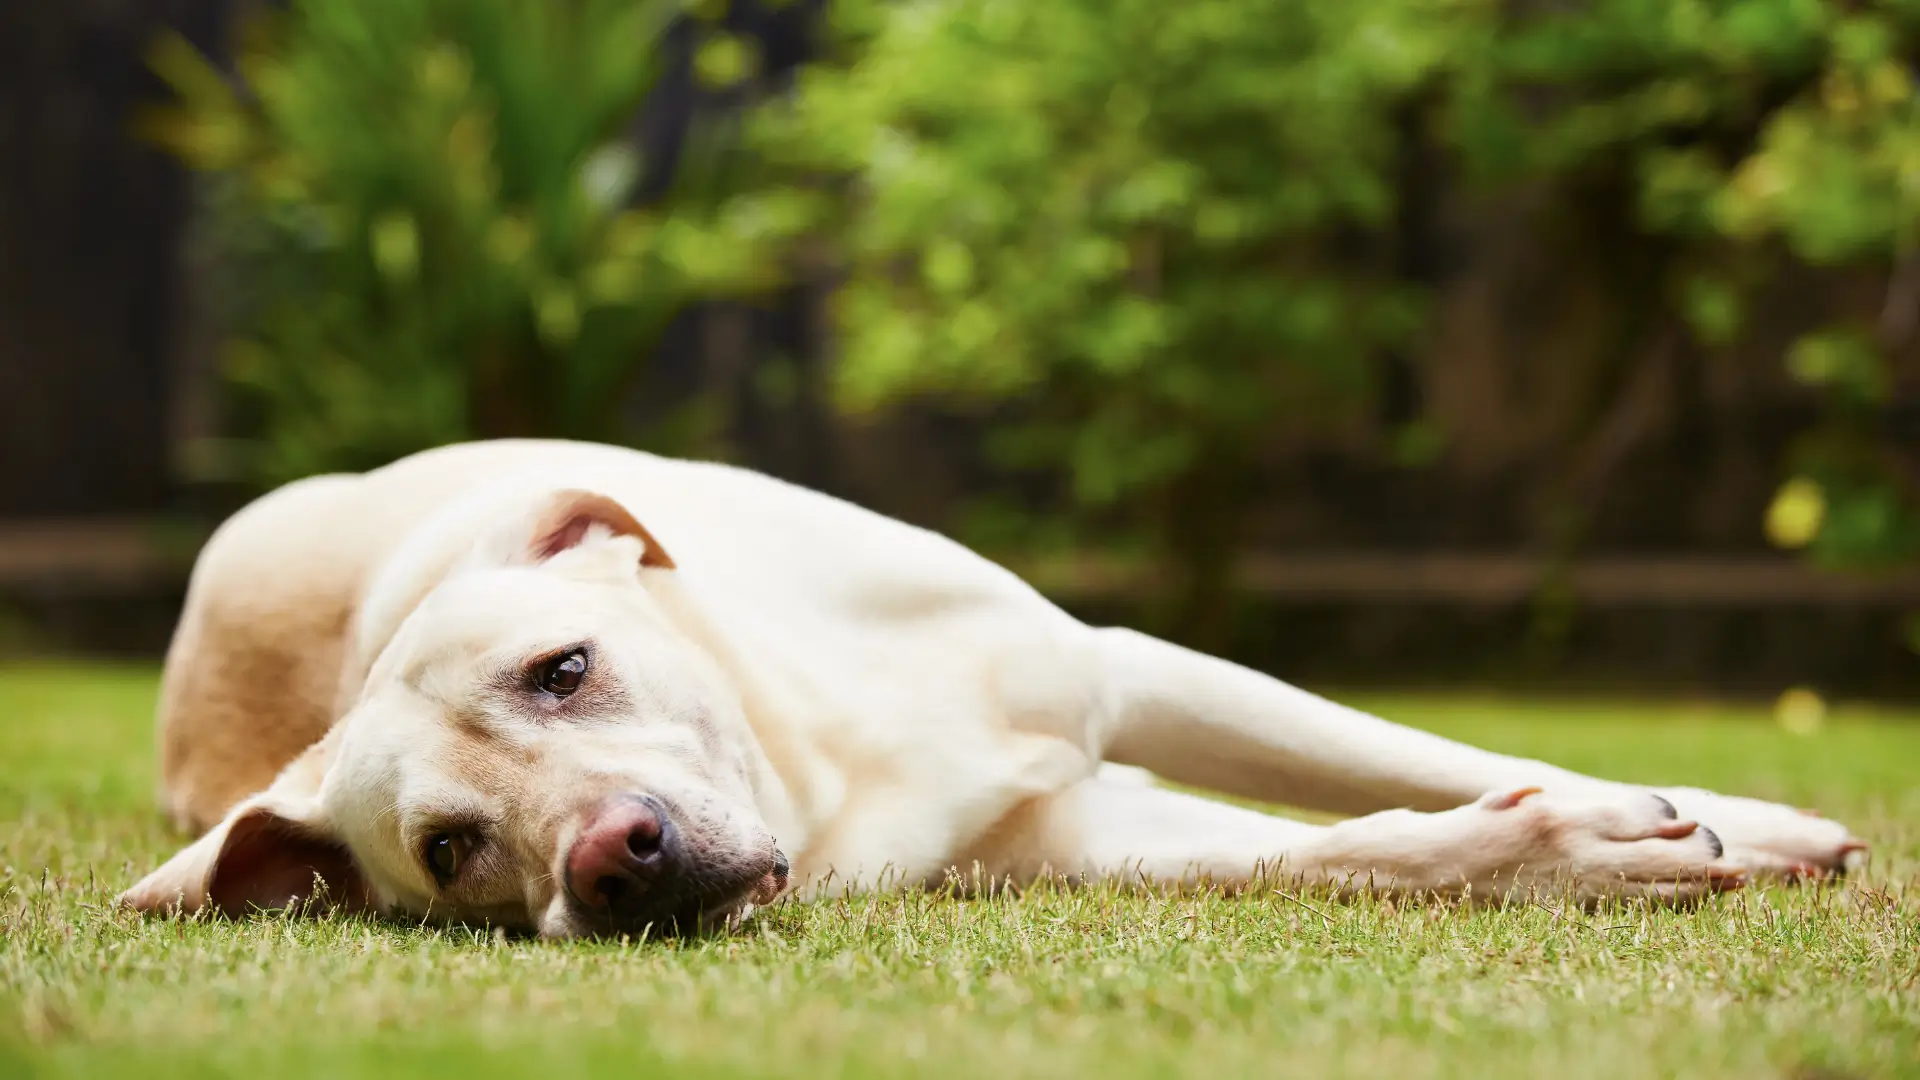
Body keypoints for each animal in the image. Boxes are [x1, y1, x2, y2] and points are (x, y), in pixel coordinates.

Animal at [116, 438, 1858, 933]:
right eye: (455, 851)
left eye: (564, 670)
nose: (615, 864)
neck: (825, 762)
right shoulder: (1078, 836)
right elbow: (1371, 843)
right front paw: (1574, 850)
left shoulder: (1128, 676)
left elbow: (1396, 756)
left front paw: (1722, 813)